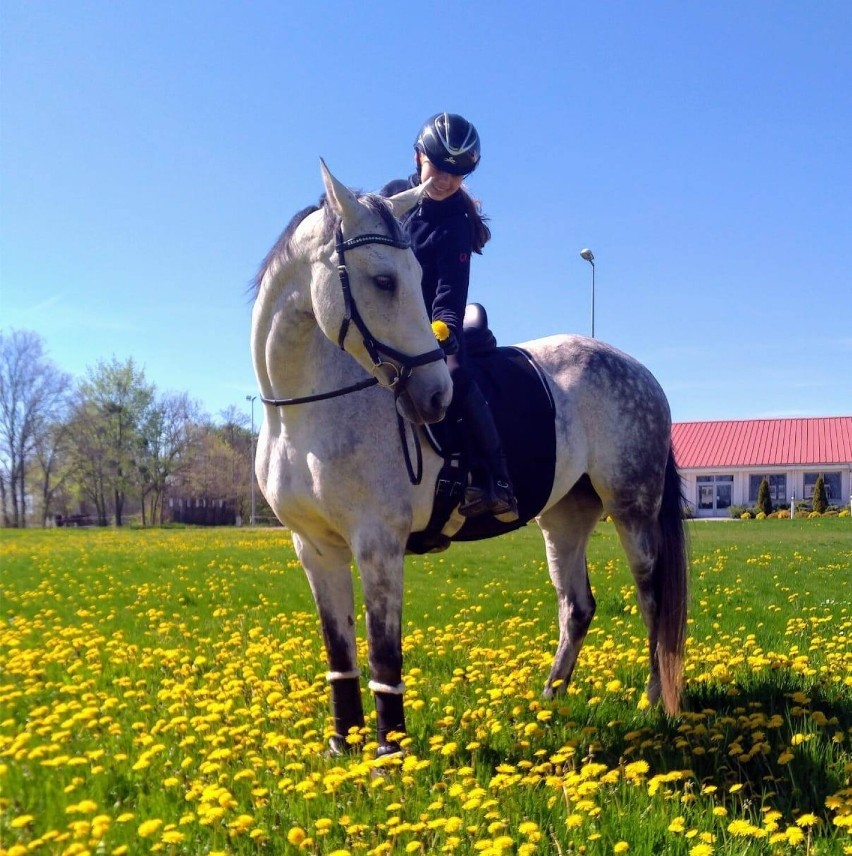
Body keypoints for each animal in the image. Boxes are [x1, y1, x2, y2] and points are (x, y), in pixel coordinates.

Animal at [251, 162, 684, 756]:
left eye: (414, 272)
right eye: (383, 280)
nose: (436, 397)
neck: (305, 418)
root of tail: (639, 370)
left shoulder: (378, 545)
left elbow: (384, 655)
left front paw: (390, 755)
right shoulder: (316, 549)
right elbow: (340, 653)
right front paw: (344, 747)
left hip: (632, 510)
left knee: (652, 601)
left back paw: (650, 699)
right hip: (565, 519)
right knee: (577, 607)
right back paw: (549, 701)